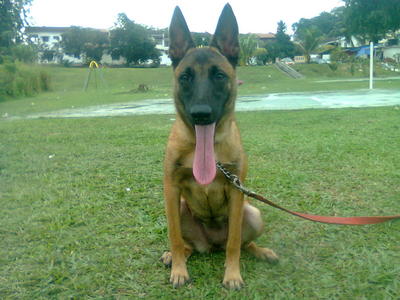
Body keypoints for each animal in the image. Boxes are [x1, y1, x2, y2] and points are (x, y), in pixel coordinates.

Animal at [161, 2, 276, 288]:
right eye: (185, 77)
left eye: (220, 76)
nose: (201, 114)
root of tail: (212, 244)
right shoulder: (171, 190)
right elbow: (175, 238)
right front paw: (179, 270)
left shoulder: (236, 192)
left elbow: (234, 242)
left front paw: (232, 274)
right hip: (181, 209)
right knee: (186, 245)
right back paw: (175, 256)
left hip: (253, 214)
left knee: (242, 244)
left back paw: (261, 251)